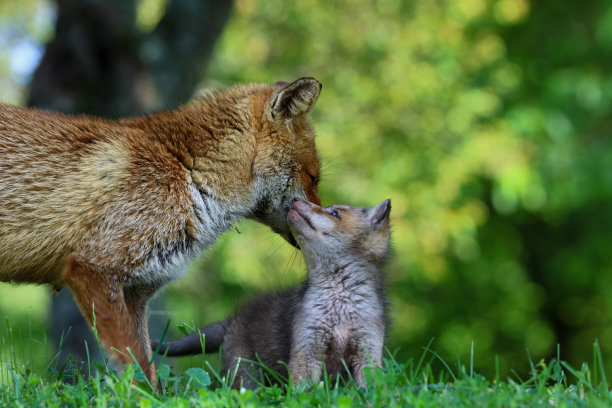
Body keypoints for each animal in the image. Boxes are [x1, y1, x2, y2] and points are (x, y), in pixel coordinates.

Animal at [0, 78, 322, 388]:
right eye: (313, 177)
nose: (327, 211)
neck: (186, 172)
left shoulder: (136, 292)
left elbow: (149, 368)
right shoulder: (93, 268)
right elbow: (134, 367)